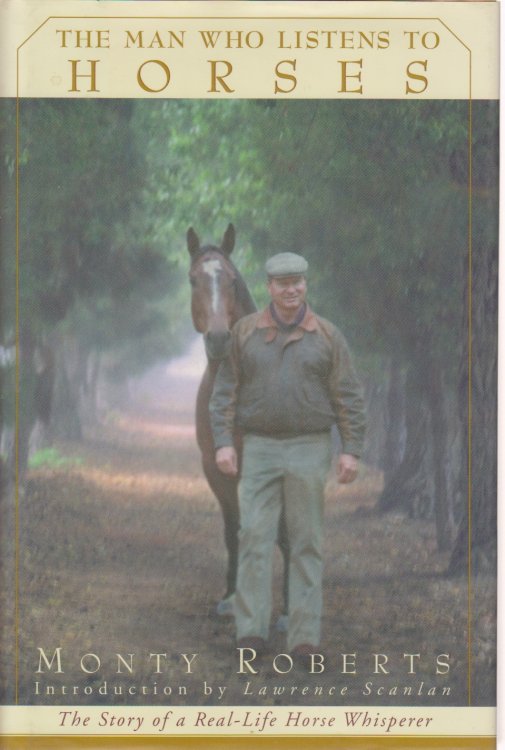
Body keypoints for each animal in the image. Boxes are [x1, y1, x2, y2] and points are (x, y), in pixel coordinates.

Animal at [187, 224, 289, 625]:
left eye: (231, 280)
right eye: (193, 279)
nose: (218, 338)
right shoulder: (216, 468)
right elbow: (233, 529)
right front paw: (231, 597)